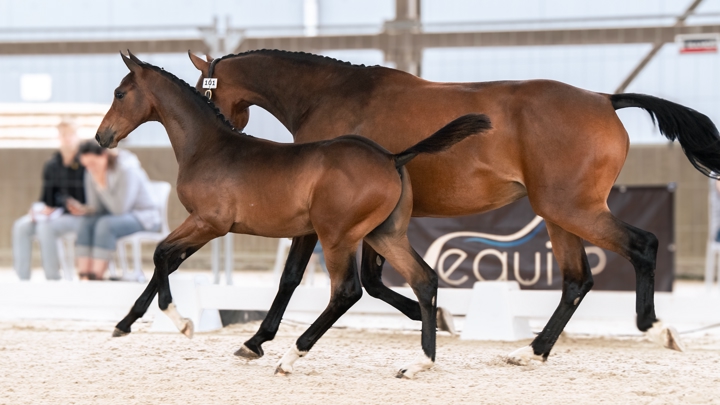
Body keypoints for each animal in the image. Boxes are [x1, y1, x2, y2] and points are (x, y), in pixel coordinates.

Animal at [97, 52, 490, 378]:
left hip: (336, 238)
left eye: (119, 93)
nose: (102, 137)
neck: (209, 146)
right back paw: (420, 362)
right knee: (423, 279)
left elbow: (162, 253)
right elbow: (167, 259)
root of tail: (392, 157)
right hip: (384, 234)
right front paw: (125, 323)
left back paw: (290, 357)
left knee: (347, 292)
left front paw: (181, 323)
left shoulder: (210, 223)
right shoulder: (204, 225)